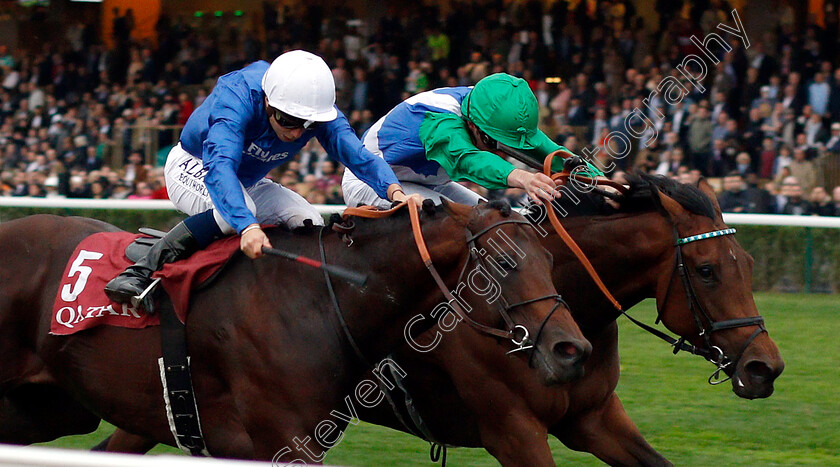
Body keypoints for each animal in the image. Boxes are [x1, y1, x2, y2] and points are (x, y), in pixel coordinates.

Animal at [0, 199, 592, 462]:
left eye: (550, 259)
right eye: (504, 262)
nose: (572, 350)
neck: (321, 296)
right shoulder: (281, 443)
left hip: (55, 406)